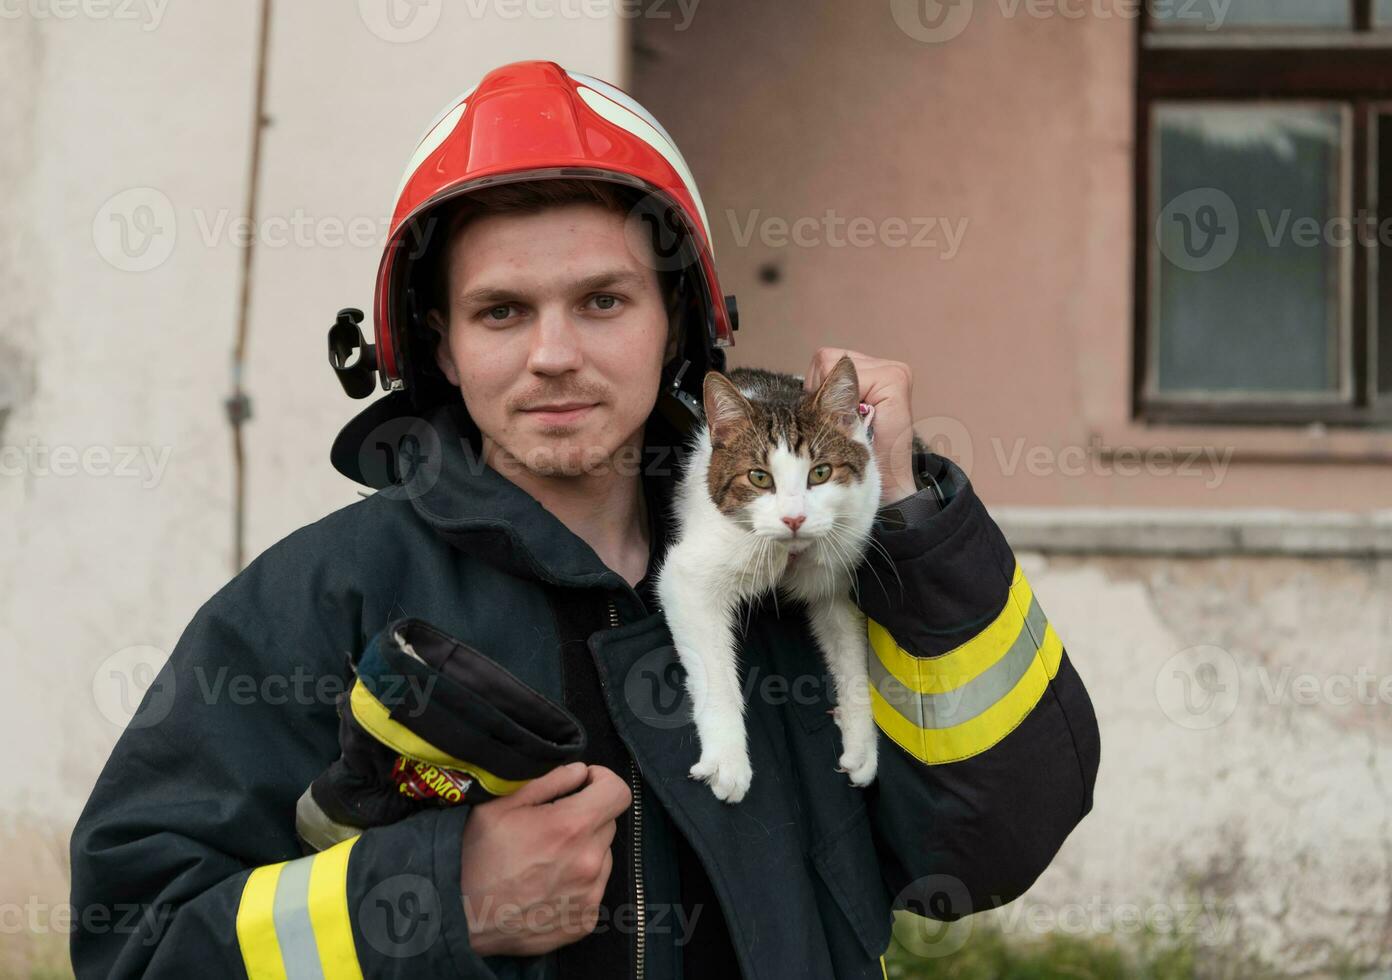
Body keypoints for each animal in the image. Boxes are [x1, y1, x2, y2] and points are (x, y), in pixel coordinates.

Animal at [654, 353, 879, 801]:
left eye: (821, 472)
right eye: (759, 477)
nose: (794, 518)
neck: (790, 553)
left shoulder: (842, 562)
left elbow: (849, 649)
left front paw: (862, 741)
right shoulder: (690, 575)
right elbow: (714, 669)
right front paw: (727, 757)